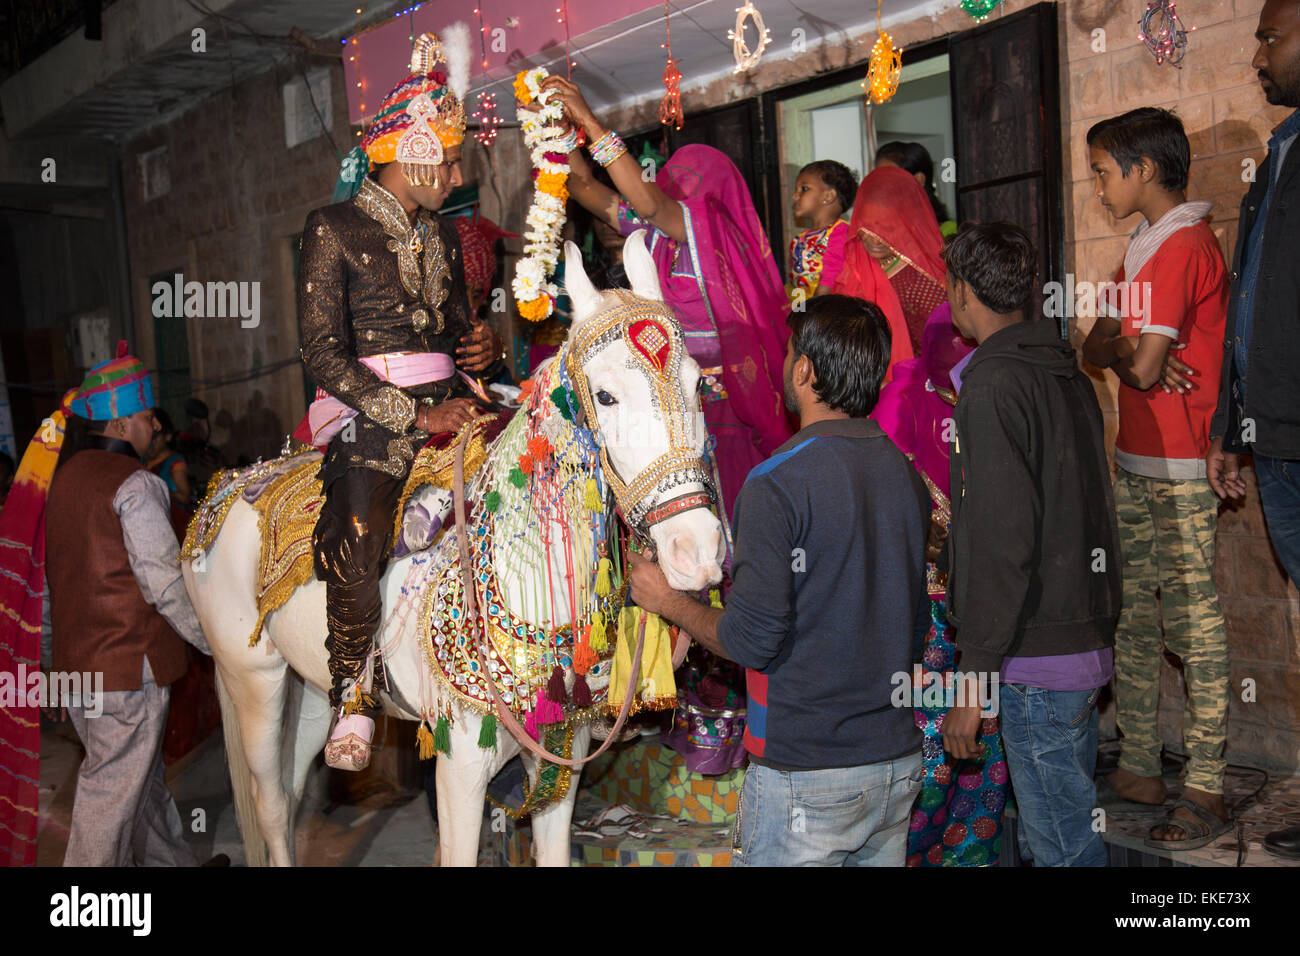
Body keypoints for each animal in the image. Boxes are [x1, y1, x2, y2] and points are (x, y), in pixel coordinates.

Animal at [183, 231, 728, 868]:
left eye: (697, 384)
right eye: (606, 396)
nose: (696, 551)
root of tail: (224, 491)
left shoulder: (561, 758)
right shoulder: (460, 770)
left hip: (309, 687)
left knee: (293, 792)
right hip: (253, 680)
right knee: (270, 804)